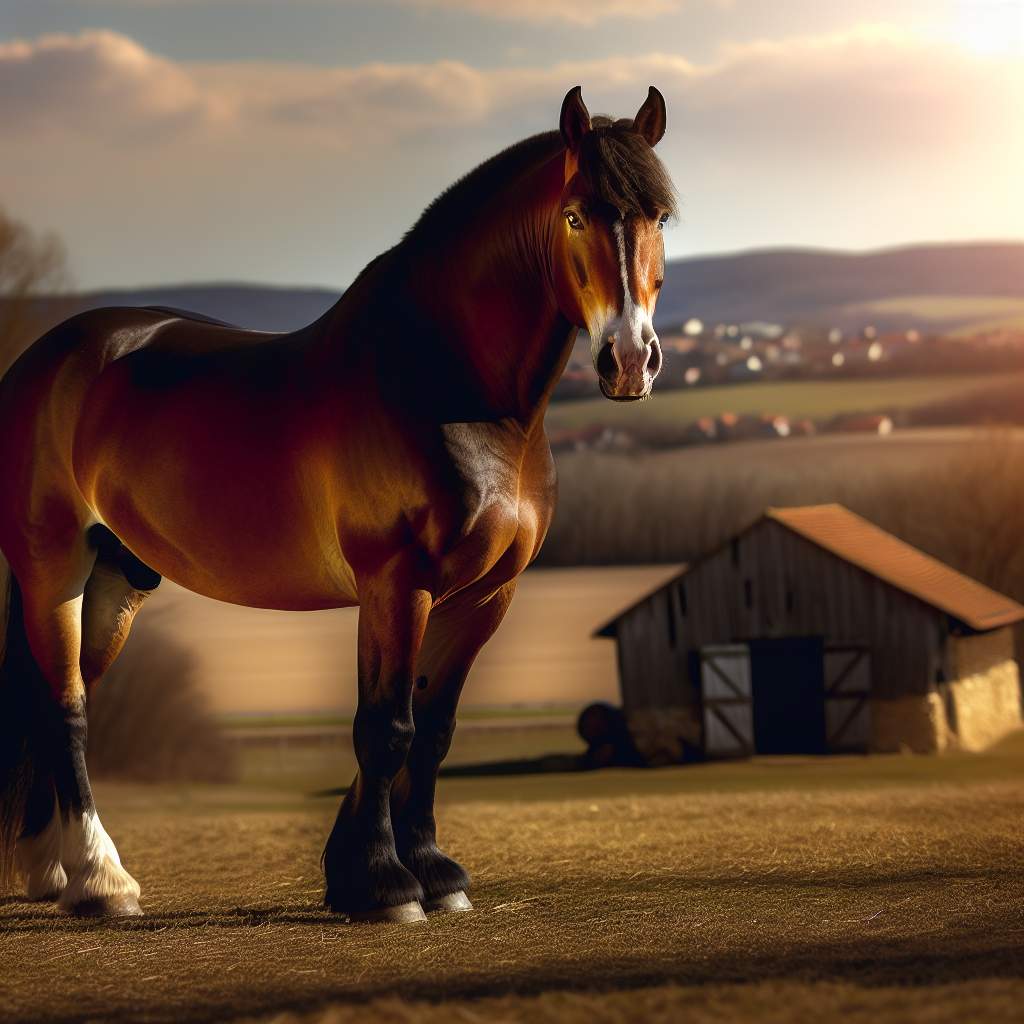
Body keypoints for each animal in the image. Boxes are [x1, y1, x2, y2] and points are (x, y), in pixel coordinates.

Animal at [0, 86, 679, 921]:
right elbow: (386, 729)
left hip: (116, 576)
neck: (443, 380)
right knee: (67, 708)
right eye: (577, 215)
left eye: (660, 218)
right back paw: (103, 878)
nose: (630, 361)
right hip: (52, 565)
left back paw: (52, 872)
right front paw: (388, 883)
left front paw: (417, 873)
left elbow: (434, 731)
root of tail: (45, 359)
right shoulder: (397, 582)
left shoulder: (485, 595)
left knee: (47, 698)